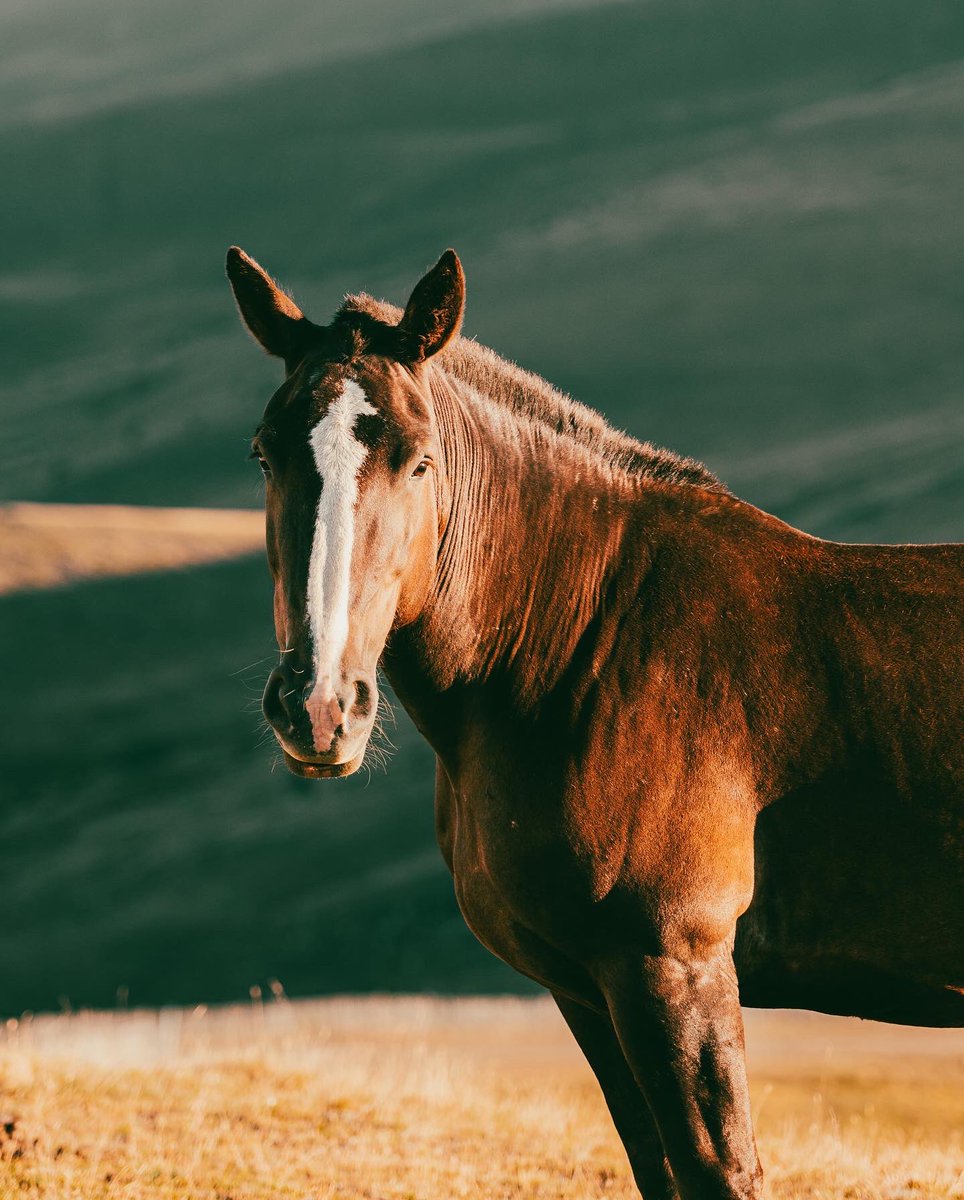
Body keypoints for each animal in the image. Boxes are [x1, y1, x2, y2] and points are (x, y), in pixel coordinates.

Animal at [226, 246, 963, 1200]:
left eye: (419, 462)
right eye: (264, 453)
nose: (319, 705)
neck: (581, 642)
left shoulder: (672, 968)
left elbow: (719, 1170)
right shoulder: (585, 989)